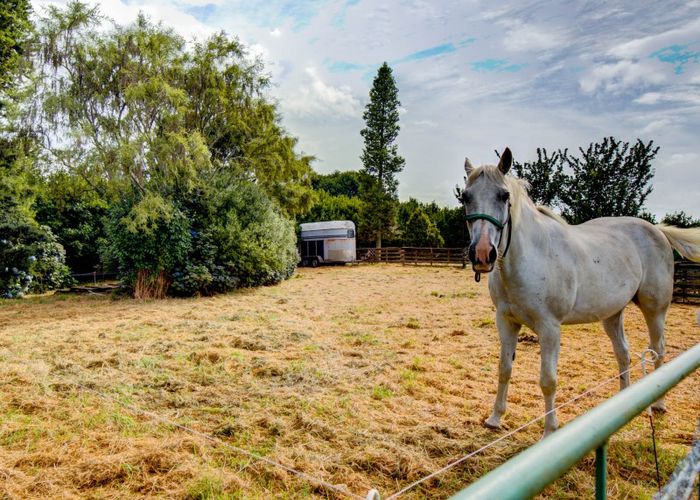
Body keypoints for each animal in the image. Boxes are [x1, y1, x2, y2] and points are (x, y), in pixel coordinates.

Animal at [460, 146, 700, 436]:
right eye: (465, 197)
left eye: (504, 195)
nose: (483, 254)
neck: (530, 258)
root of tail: (658, 231)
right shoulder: (506, 322)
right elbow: (504, 369)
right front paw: (495, 418)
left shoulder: (550, 328)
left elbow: (548, 380)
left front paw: (550, 431)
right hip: (612, 315)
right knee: (623, 353)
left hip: (655, 310)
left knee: (658, 350)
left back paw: (658, 404)